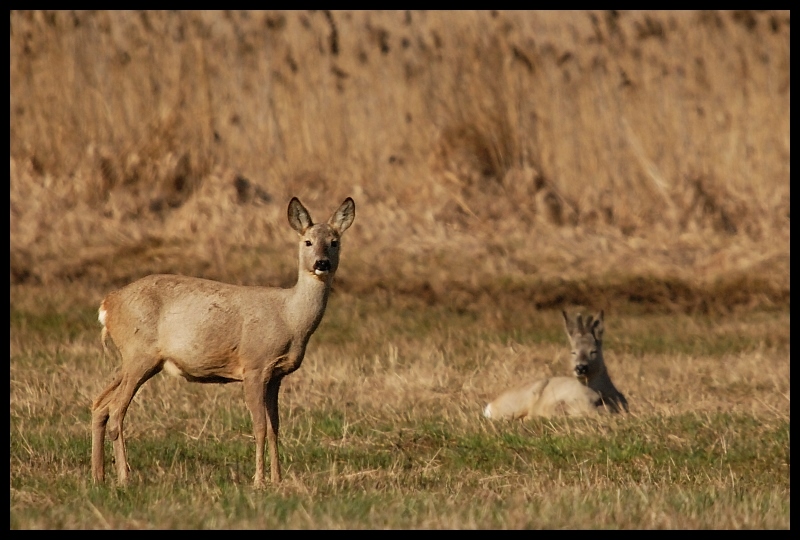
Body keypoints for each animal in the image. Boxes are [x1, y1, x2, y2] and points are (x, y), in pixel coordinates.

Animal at [90, 196, 356, 488]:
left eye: (334, 241)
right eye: (307, 241)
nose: (322, 263)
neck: (290, 318)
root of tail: (107, 305)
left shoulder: (276, 375)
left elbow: (275, 427)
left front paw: (277, 479)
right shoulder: (254, 366)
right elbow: (260, 427)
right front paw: (259, 481)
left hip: (134, 359)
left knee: (99, 404)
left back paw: (98, 476)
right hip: (139, 353)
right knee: (116, 409)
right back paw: (124, 477)